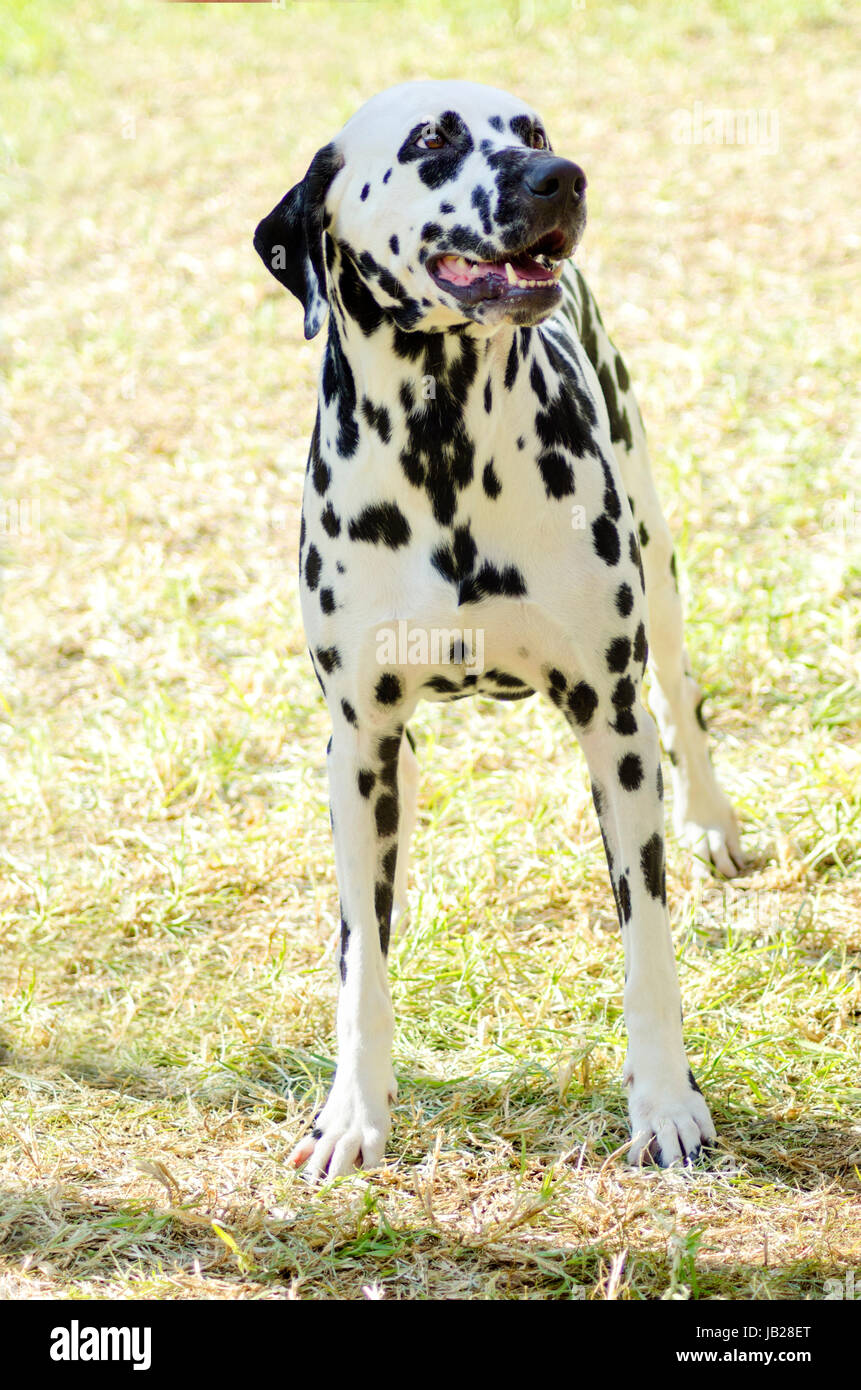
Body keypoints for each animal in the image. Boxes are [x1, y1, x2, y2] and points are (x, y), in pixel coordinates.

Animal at [253, 81, 745, 1178]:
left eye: (534, 133)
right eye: (431, 140)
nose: (562, 178)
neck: (445, 450)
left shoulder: (612, 723)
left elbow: (646, 940)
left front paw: (665, 1103)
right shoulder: (359, 742)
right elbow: (361, 959)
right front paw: (353, 1113)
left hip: (658, 571)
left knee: (682, 695)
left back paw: (714, 822)